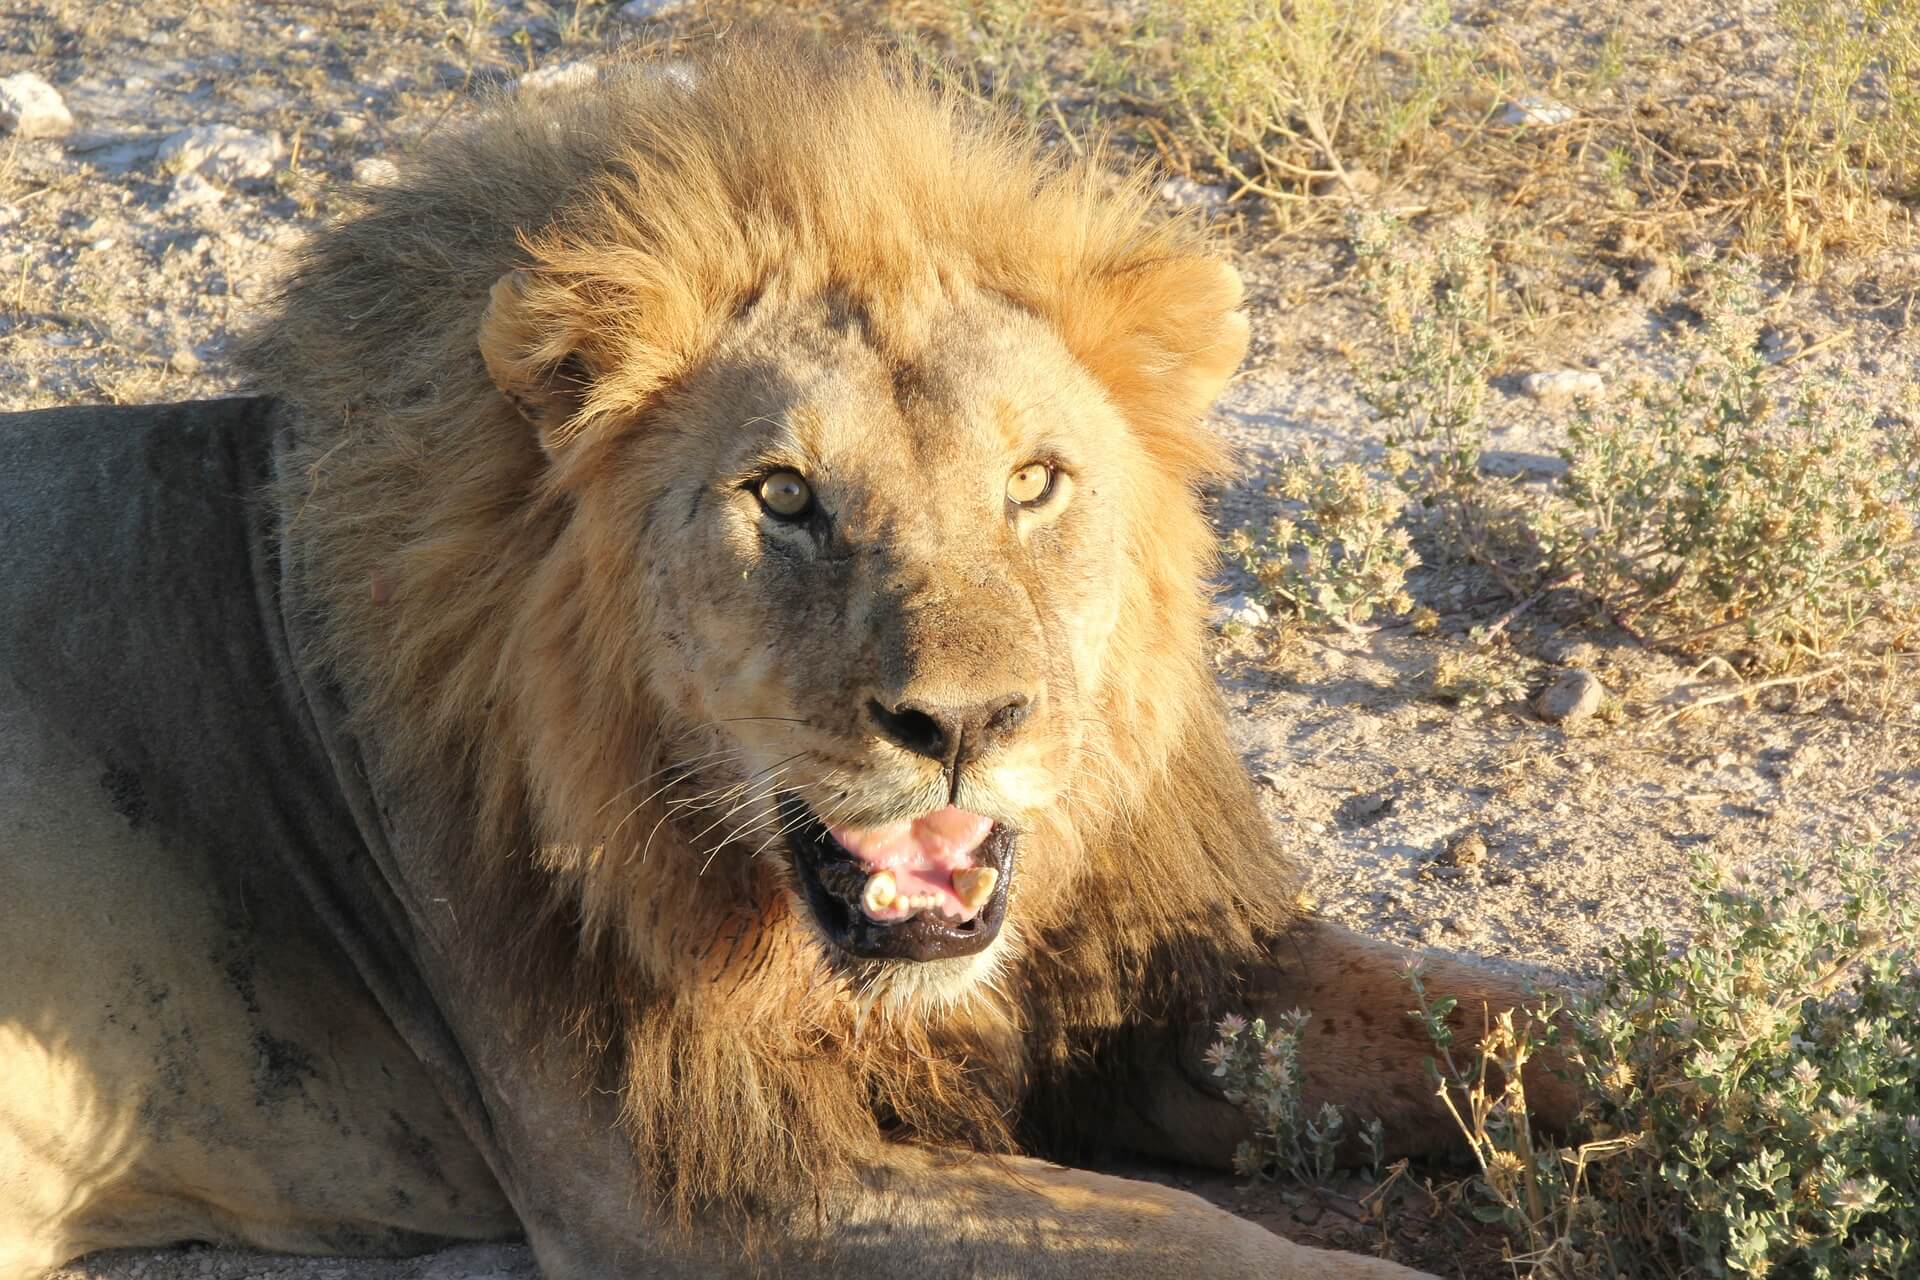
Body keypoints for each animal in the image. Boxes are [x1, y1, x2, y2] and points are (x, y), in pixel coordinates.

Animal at [0, 40, 1566, 1280]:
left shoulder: (1168, 976)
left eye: (1034, 481)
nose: (964, 723)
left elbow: (1507, 1015)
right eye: (786, 497)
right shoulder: (688, 1185)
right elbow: (1208, 1244)